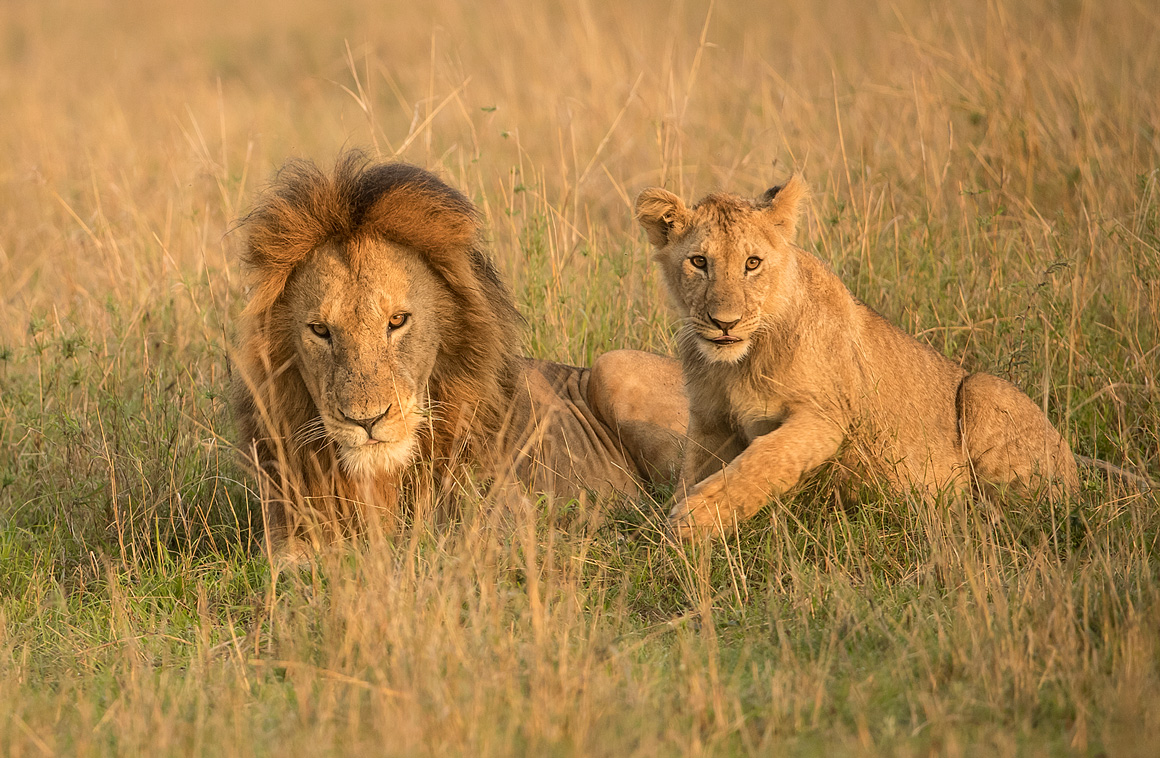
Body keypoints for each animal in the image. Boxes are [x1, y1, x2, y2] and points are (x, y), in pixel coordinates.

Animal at [635, 174, 1076, 538]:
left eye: (752, 263)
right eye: (698, 262)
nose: (725, 323)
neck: (737, 364)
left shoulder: (829, 415)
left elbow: (766, 458)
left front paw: (696, 518)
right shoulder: (710, 423)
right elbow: (691, 472)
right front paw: (665, 531)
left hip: (982, 389)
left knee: (1032, 513)